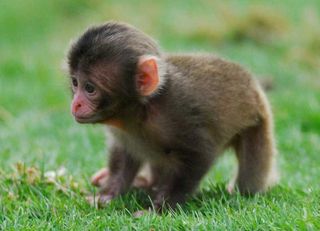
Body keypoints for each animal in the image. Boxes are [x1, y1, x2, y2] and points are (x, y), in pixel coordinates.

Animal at [67, 22, 278, 211]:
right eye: (75, 83)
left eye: (90, 88)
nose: (75, 104)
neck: (141, 110)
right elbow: (125, 154)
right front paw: (107, 194)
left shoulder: (178, 114)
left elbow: (199, 155)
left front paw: (161, 208)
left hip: (258, 122)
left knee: (249, 178)